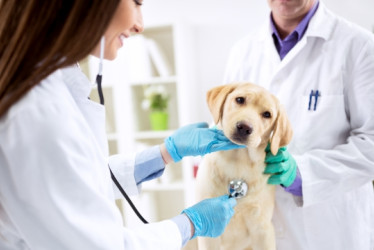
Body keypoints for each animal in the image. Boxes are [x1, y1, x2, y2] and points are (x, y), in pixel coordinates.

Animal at [196, 82, 292, 250]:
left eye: (267, 114)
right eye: (239, 100)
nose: (245, 127)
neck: (238, 162)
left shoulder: (263, 230)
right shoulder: (209, 233)